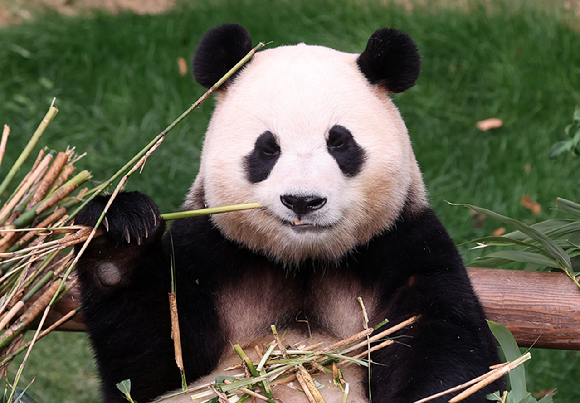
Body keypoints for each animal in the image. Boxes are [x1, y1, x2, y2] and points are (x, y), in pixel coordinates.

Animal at [76, 23, 502, 402]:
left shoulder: (403, 247)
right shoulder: (208, 254)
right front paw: (118, 234)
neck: (303, 261)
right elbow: (154, 362)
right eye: (267, 148)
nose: (302, 201)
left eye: (339, 143)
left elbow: (445, 345)